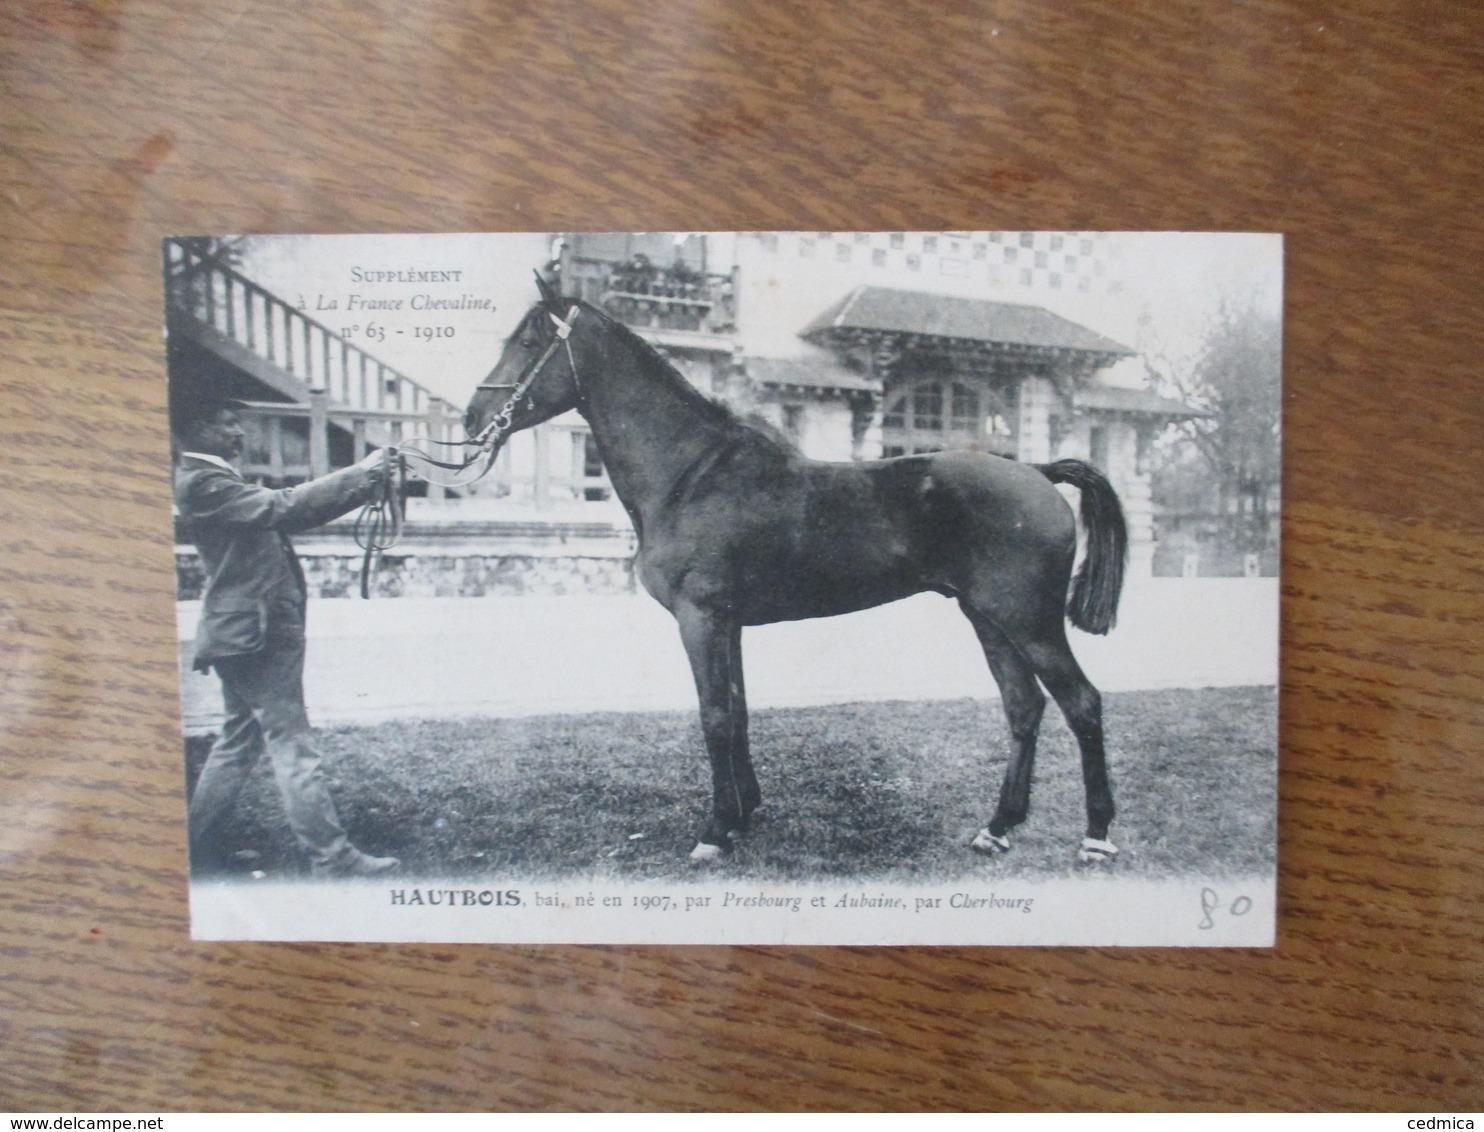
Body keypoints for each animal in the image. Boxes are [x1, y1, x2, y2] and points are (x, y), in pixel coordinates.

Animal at [463, 278, 1121, 860]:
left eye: (528, 341)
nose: (473, 417)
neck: (691, 475)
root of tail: (1037, 470)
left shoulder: (700, 619)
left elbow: (715, 716)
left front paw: (715, 831)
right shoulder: (727, 624)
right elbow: (738, 710)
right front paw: (743, 814)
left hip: (1030, 623)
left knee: (1082, 704)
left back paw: (1096, 836)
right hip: (988, 618)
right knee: (1024, 707)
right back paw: (998, 827)